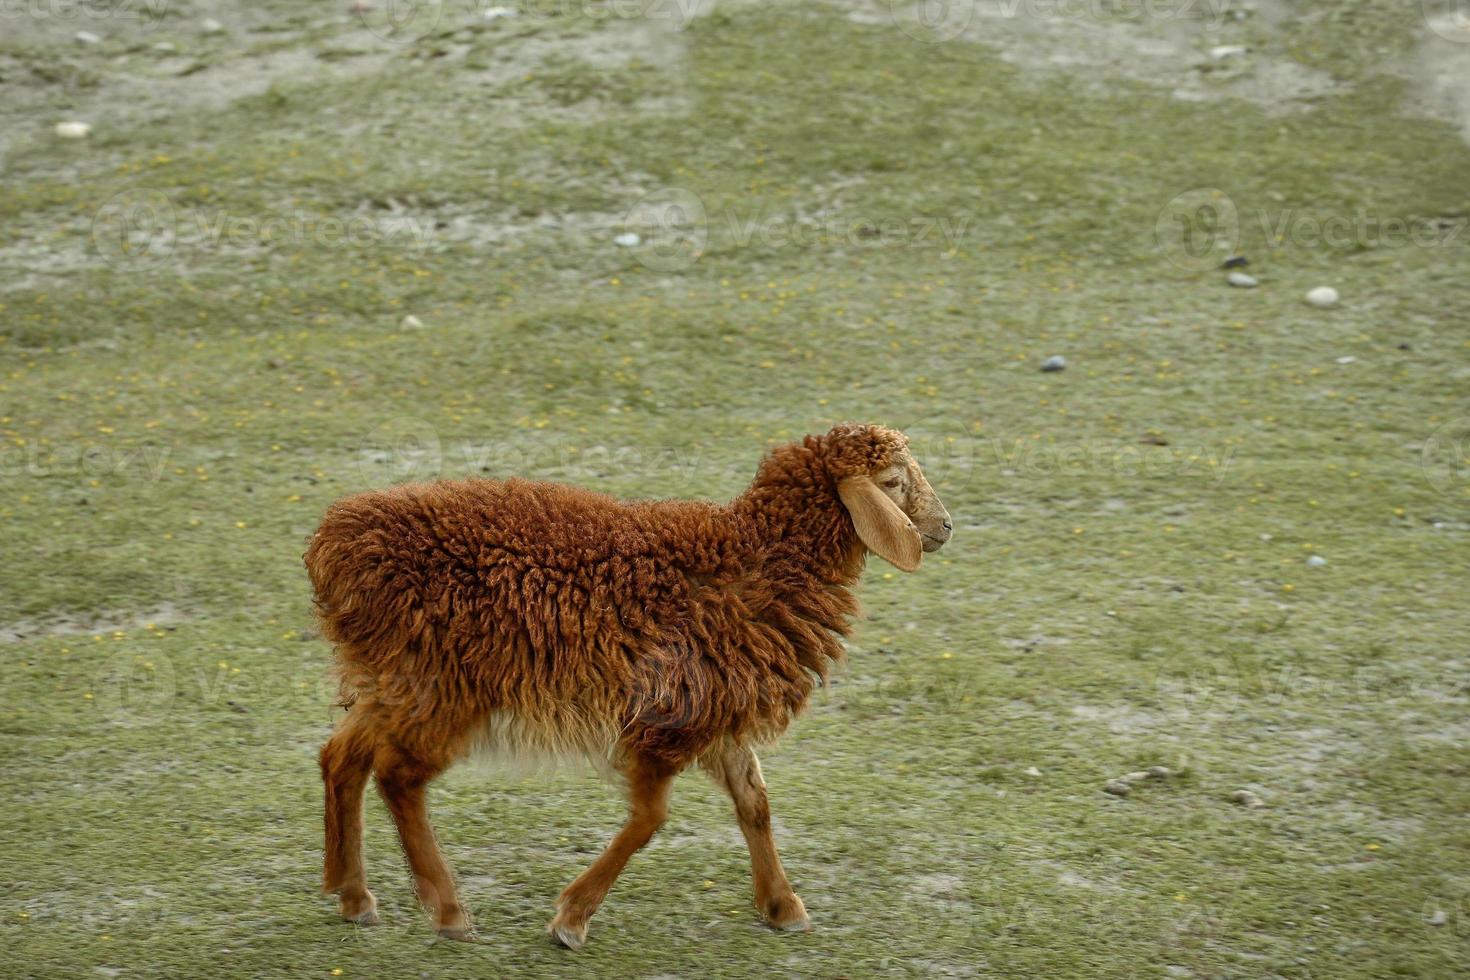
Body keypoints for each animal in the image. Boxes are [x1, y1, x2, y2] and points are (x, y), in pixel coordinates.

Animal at [307, 423, 952, 952]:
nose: (945, 526)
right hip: (442, 687)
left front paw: (783, 906)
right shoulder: (669, 718)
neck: (759, 559)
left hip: (397, 680)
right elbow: (650, 820)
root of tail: (334, 546)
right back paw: (446, 912)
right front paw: (571, 919)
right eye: (893, 482)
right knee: (398, 776)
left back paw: (351, 894)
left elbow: (755, 804)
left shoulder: (719, 711)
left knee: (342, 756)